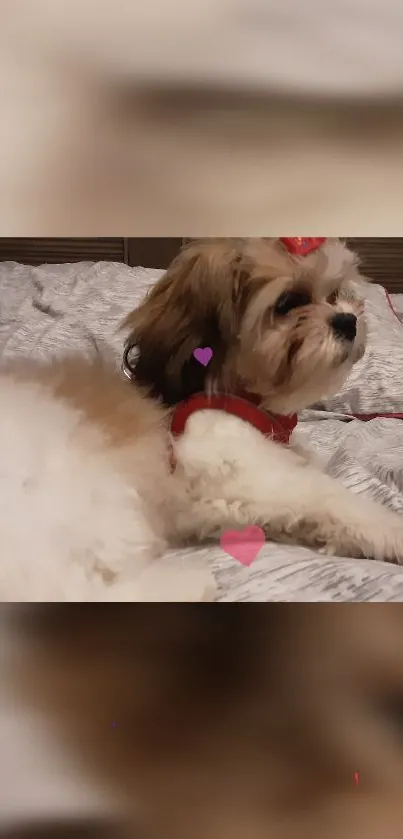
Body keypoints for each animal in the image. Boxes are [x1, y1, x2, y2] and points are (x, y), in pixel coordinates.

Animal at [122, 236, 403, 564]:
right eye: (287, 303)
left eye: (334, 294)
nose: (348, 320)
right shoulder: (231, 476)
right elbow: (327, 494)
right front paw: (390, 529)